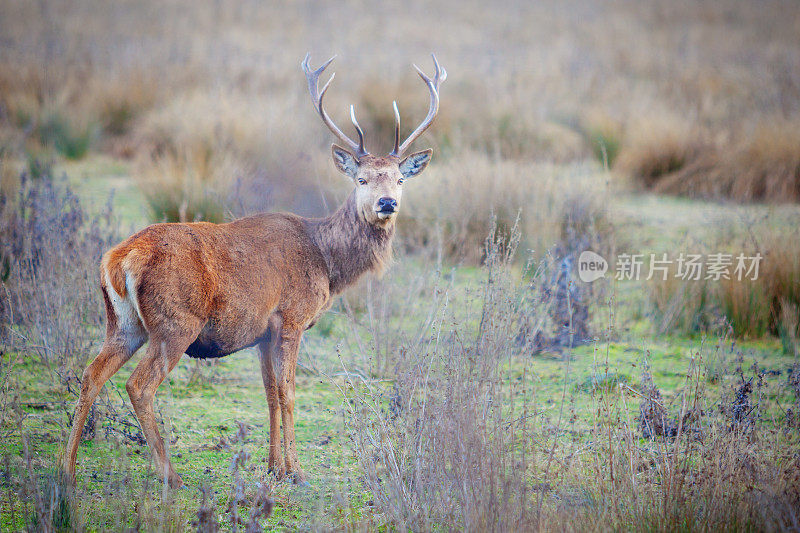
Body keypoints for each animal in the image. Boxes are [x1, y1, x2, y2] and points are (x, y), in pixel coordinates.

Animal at [63, 53, 446, 486]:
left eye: (399, 179)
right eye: (361, 179)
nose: (386, 203)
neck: (327, 262)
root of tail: (119, 257)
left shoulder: (264, 331)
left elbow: (269, 394)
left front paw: (274, 467)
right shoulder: (292, 317)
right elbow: (289, 393)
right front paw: (297, 471)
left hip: (123, 322)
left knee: (91, 374)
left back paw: (67, 470)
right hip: (175, 321)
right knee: (139, 385)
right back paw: (170, 476)